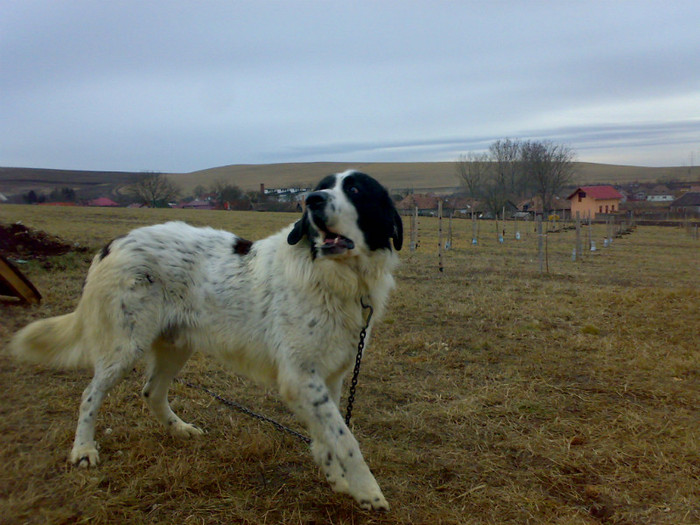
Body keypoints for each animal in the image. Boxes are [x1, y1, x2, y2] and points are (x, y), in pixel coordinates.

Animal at [9, 170, 404, 510]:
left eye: (356, 190)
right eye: (322, 187)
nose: (312, 200)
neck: (338, 277)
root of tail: (114, 243)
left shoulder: (328, 376)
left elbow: (330, 434)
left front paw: (337, 478)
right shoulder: (300, 376)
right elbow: (345, 438)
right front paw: (367, 490)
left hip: (176, 345)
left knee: (151, 391)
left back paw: (179, 429)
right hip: (125, 346)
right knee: (90, 395)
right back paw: (83, 450)